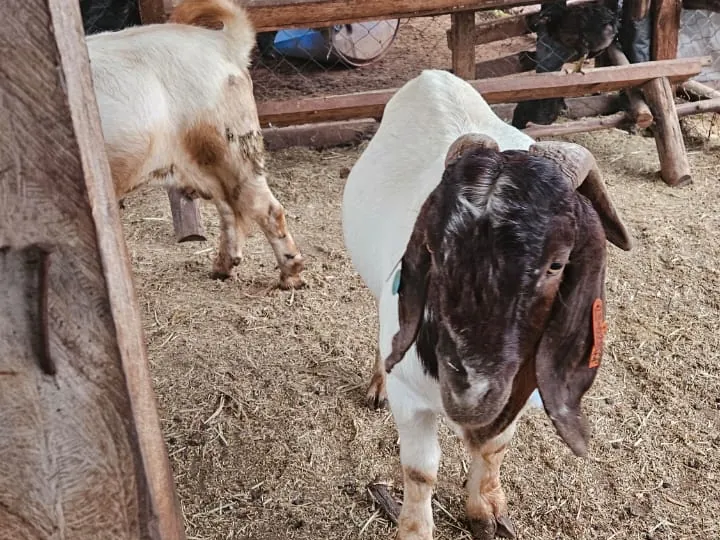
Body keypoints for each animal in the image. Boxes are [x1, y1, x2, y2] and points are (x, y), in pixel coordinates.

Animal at [86, 0, 304, 288]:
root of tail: (221, 42)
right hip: (204, 162)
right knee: (229, 208)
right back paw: (221, 269)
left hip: (233, 148)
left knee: (266, 208)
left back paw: (290, 277)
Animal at [342, 69, 632, 540]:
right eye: (434, 248)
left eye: (557, 263)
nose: (470, 392)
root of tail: (431, 74)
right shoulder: (411, 396)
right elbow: (421, 471)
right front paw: (416, 528)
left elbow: (495, 448)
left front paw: (486, 508)